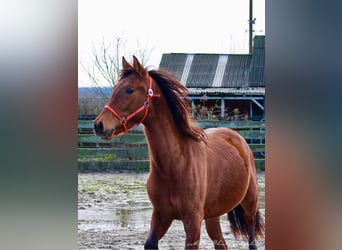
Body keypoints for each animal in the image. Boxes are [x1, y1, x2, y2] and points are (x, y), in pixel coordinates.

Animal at [93, 56, 264, 250]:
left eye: (129, 89)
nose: (99, 125)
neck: (176, 164)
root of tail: (238, 139)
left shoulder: (193, 220)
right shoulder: (161, 215)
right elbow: (150, 243)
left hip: (249, 204)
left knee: (251, 238)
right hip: (212, 215)